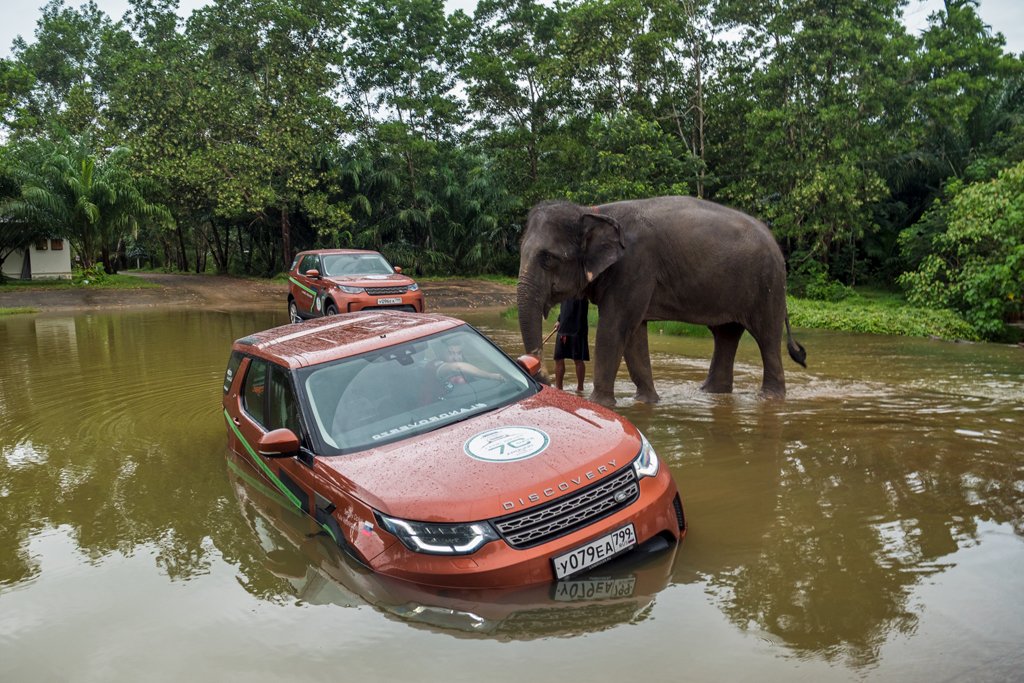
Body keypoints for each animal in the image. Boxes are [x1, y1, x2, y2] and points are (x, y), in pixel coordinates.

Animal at [520, 194, 806, 405]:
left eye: (548, 258)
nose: (541, 374)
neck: (591, 210)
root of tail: (775, 242)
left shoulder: (634, 266)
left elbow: (615, 327)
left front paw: (599, 403)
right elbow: (634, 333)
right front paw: (647, 401)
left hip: (767, 286)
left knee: (766, 337)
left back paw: (768, 398)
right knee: (726, 334)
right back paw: (711, 393)